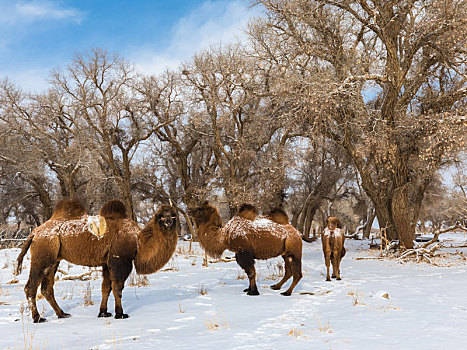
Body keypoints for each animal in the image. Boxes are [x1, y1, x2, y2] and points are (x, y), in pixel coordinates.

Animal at [15, 197, 179, 322]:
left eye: (173, 214)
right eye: (160, 216)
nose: (168, 222)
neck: (138, 241)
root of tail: (34, 233)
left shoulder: (107, 262)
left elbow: (106, 287)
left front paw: (103, 312)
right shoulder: (120, 260)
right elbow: (118, 287)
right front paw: (120, 314)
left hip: (54, 259)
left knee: (46, 288)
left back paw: (62, 314)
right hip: (43, 255)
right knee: (30, 287)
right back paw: (38, 318)